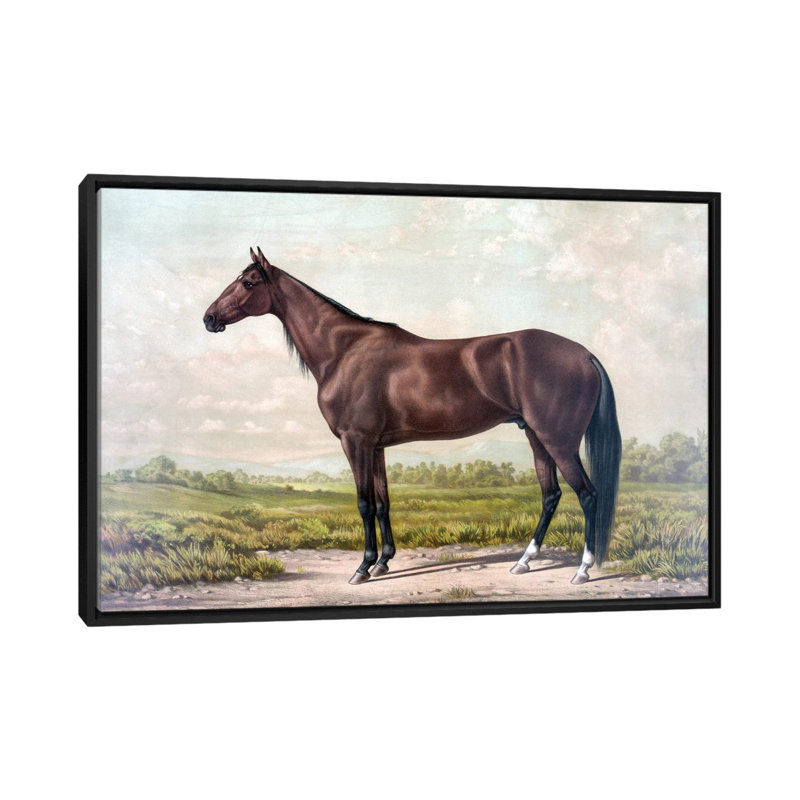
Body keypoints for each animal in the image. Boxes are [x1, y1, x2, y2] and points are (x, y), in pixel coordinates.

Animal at [204, 248, 622, 586]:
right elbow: (383, 502)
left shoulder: (355, 442)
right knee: (551, 495)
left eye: (248, 282)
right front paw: (383, 562)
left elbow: (363, 503)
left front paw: (362, 568)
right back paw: (523, 562)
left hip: (558, 440)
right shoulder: (376, 447)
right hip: (536, 436)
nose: (209, 318)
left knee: (587, 494)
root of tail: (584, 354)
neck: (344, 351)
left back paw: (582, 570)